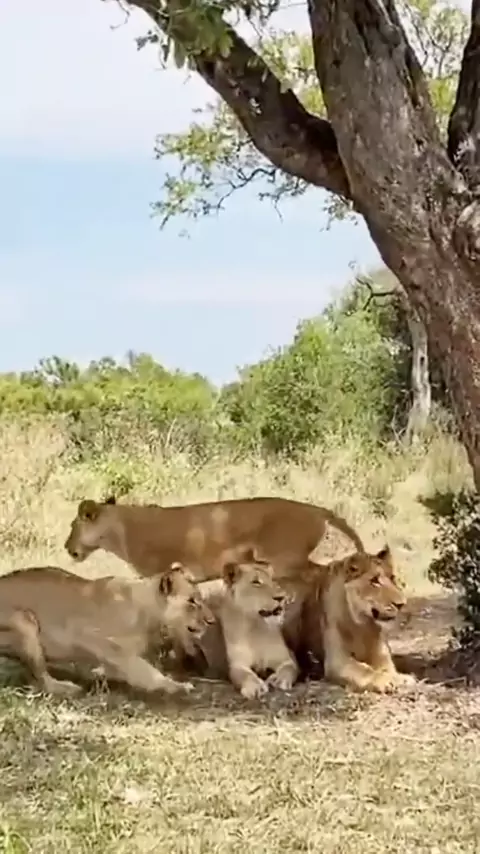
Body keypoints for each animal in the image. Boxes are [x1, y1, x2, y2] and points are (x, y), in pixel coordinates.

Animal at [0, 562, 214, 698]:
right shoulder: (87, 634)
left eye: (200, 599)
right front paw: (175, 686)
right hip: (24, 620)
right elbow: (143, 669)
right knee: (40, 679)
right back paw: (66, 687)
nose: (211, 621)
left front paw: (100, 674)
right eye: (192, 601)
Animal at [179, 549, 300, 699]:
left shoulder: (287, 657)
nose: (281, 597)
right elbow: (245, 675)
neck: (255, 626)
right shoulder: (237, 664)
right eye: (256, 582)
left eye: (272, 579)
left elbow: (290, 668)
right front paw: (255, 687)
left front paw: (279, 679)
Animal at [281, 546, 417, 693]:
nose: (401, 604)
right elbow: (364, 670)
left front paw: (401, 678)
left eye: (392, 578)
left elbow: (389, 669)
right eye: (374, 581)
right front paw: (384, 680)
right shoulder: (338, 661)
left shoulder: (381, 656)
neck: (362, 625)